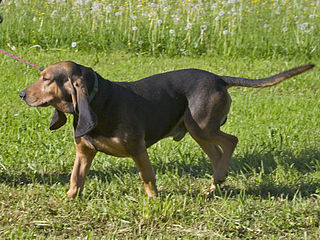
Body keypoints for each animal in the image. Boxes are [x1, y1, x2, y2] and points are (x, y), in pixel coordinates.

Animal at [18, 62, 314, 199]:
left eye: (46, 78)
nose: (21, 94)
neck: (96, 100)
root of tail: (219, 78)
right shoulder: (84, 152)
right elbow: (75, 178)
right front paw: (69, 198)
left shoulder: (138, 149)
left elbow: (147, 176)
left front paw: (153, 201)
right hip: (197, 130)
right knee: (218, 154)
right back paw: (214, 185)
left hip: (202, 125)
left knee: (231, 141)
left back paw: (217, 180)